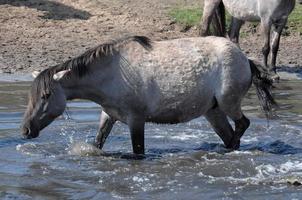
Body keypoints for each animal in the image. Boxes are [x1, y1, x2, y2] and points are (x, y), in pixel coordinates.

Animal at [21, 35, 276, 155]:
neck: (112, 72)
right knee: (230, 134)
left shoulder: (136, 120)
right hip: (213, 111)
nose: (25, 130)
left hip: (228, 103)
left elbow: (138, 151)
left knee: (242, 124)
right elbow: (98, 143)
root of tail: (245, 59)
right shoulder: (108, 115)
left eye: (46, 95)